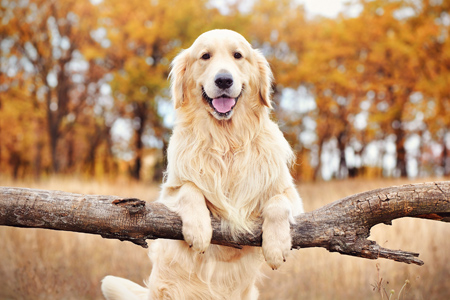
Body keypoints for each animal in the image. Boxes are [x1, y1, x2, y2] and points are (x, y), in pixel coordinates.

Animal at [101, 29, 304, 300]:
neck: (226, 141)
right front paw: (198, 230)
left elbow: (278, 202)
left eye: (238, 55)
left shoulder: (290, 193)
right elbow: (189, 189)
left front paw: (276, 246)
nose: (224, 80)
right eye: (205, 56)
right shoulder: (168, 193)